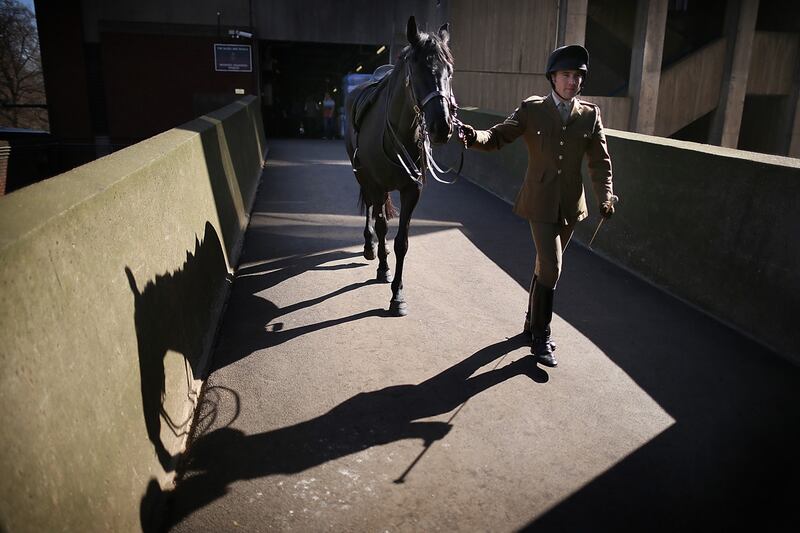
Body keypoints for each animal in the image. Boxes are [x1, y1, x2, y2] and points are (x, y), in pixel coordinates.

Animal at [344, 15, 456, 316]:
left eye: (450, 71)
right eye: (417, 71)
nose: (442, 127)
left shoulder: (412, 190)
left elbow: (402, 242)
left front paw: (398, 294)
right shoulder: (377, 184)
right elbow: (383, 226)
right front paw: (384, 269)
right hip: (363, 177)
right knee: (371, 210)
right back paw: (370, 246)